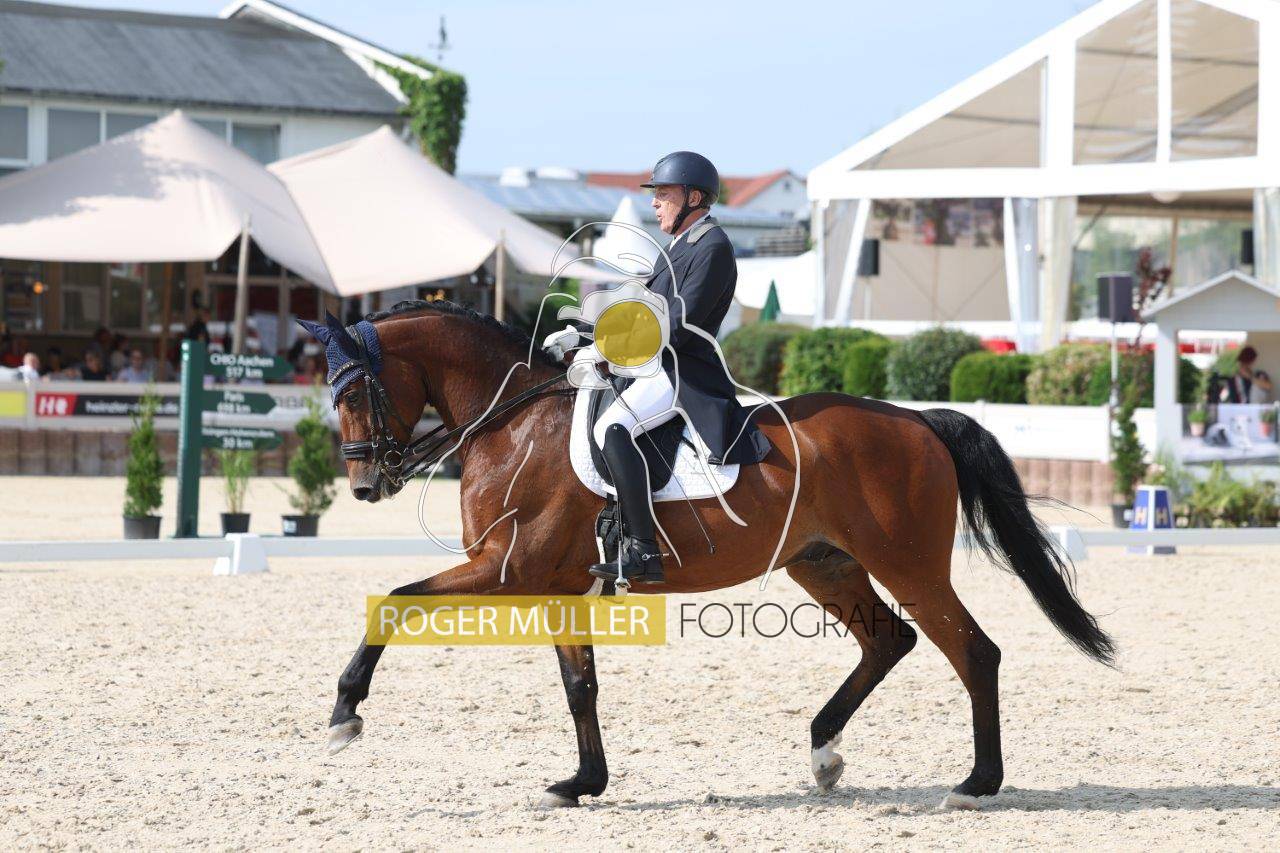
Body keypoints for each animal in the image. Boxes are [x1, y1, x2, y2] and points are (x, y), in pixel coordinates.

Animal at [316, 299, 1115, 810]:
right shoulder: (555, 585)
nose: (364, 484)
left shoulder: (504, 570)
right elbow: (580, 685)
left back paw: (977, 783)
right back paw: (824, 752)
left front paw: (346, 713)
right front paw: (583, 783)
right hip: (824, 563)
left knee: (972, 650)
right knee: (890, 640)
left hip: (907, 564)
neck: (512, 423)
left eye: (353, 392)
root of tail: (916, 419)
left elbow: (394, 603)